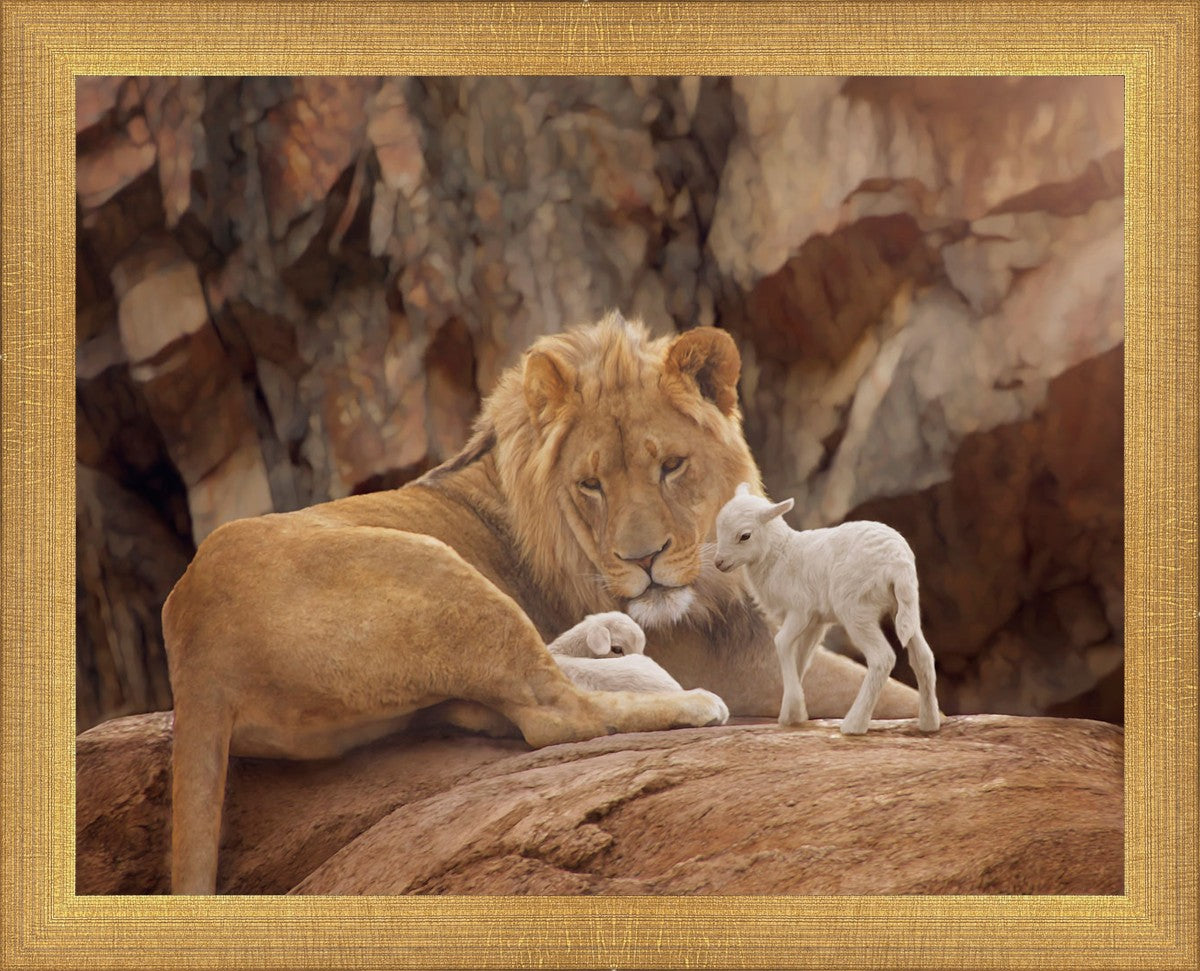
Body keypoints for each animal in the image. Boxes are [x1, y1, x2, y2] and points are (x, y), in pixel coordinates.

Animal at [713, 484, 940, 735]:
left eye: (745, 536)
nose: (718, 563)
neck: (780, 554)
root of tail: (898, 562)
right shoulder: (815, 621)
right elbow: (801, 657)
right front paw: (793, 713)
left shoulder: (800, 610)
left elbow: (781, 643)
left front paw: (793, 709)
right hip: (905, 606)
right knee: (923, 656)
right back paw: (929, 723)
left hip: (855, 608)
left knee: (882, 658)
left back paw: (854, 724)